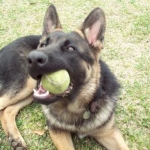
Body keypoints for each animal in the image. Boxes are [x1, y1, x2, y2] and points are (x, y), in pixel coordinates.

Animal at [0, 4, 129, 150]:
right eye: (43, 45)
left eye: (71, 48)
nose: (32, 58)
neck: (77, 106)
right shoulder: (58, 132)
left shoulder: (109, 132)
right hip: (25, 86)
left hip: (30, 93)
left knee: (7, 110)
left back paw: (15, 138)